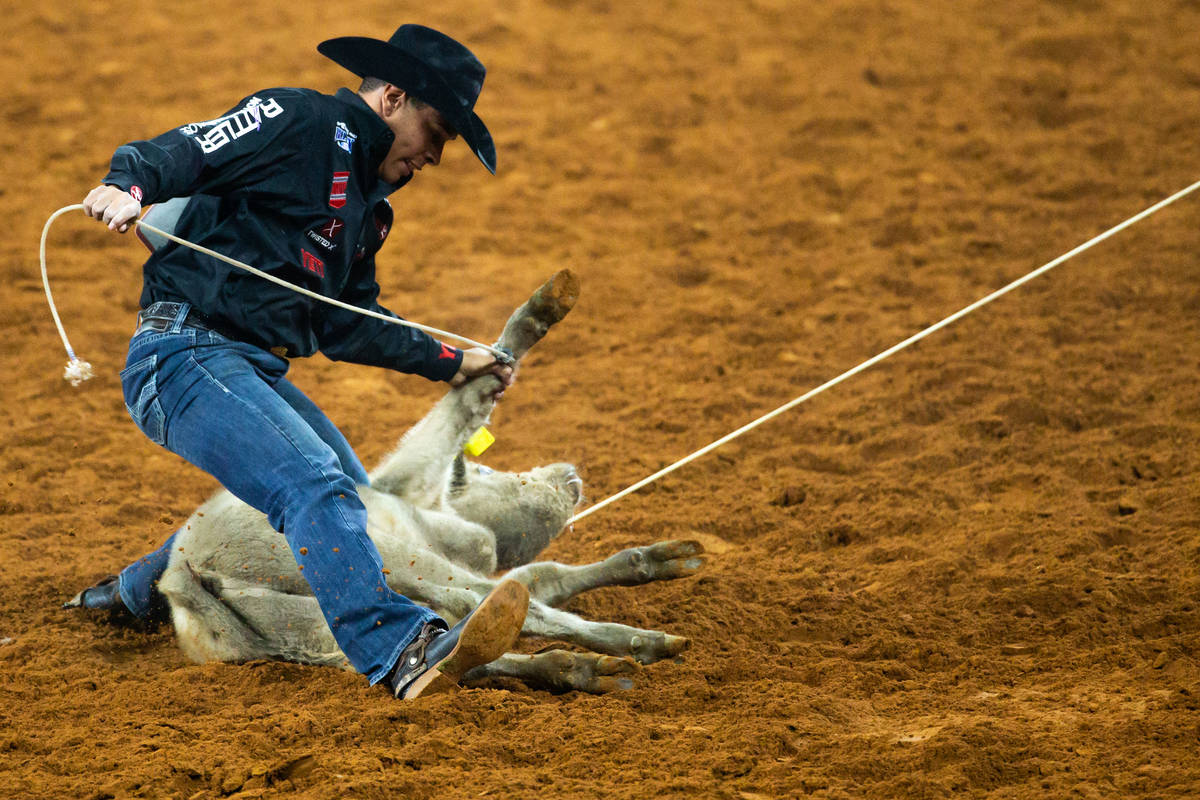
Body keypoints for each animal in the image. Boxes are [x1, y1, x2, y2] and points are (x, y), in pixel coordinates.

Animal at [156, 271, 705, 695]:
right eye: (489, 470)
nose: (569, 475)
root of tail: (182, 578)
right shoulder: (415, 490)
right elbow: (467, 404)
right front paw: (540, 312)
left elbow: (543, 578)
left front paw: (664, 559)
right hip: (390, 562)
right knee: (483, 604)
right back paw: (638, 645)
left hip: (316, 633)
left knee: (449, 650)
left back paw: (581, 668)